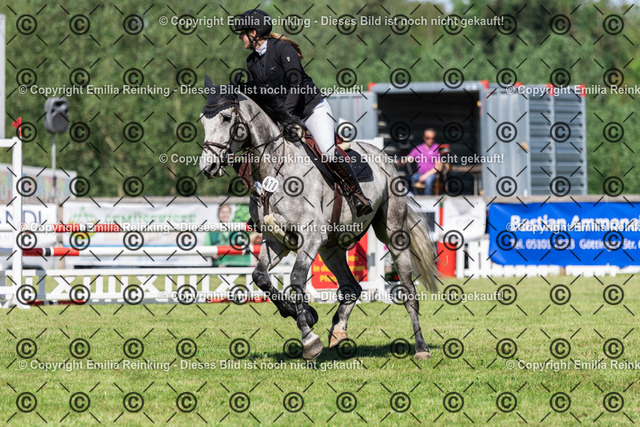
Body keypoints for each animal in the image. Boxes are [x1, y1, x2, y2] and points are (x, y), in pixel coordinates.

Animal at [198, 75, 438, 360]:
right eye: (203, 120)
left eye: (225, 118)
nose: (208, 167)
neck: (273, 169)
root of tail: (385, 158)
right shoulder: (276, 240)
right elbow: (261, 277)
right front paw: (302, 314)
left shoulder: (310, 236)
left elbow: (296, 278)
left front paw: (309, 337)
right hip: (331, 247)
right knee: (351, 287)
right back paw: (338, 331)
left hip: (393, 234)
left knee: (408, 291)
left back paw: (421, 348)